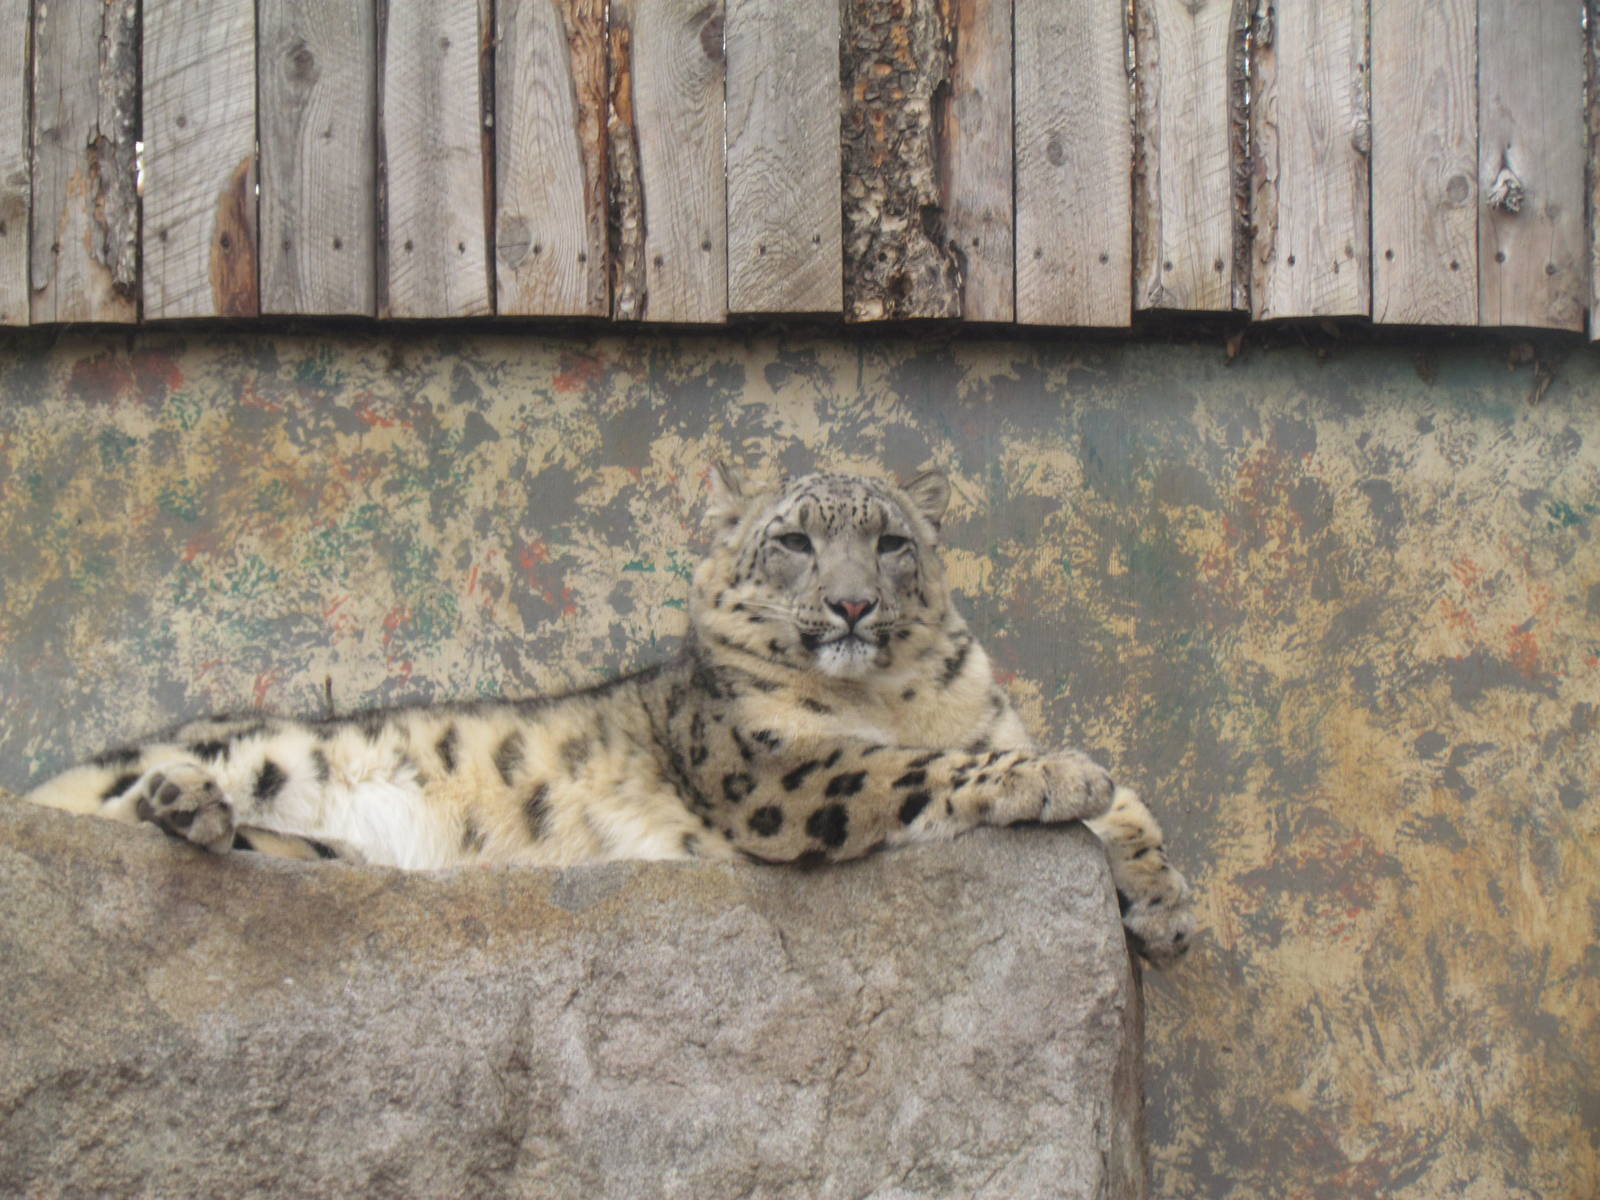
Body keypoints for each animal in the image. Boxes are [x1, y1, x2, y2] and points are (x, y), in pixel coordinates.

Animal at [24, 465, 1195, 966]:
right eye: (794, 541)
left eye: (893, 541)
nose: (853, 605)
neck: (893, 694)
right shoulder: (778, 769)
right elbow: (917, 771)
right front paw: (1059, 775)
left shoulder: (977, 717)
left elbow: (1132, 799)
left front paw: (1165, 905)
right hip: (228, 760)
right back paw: (189, 802)